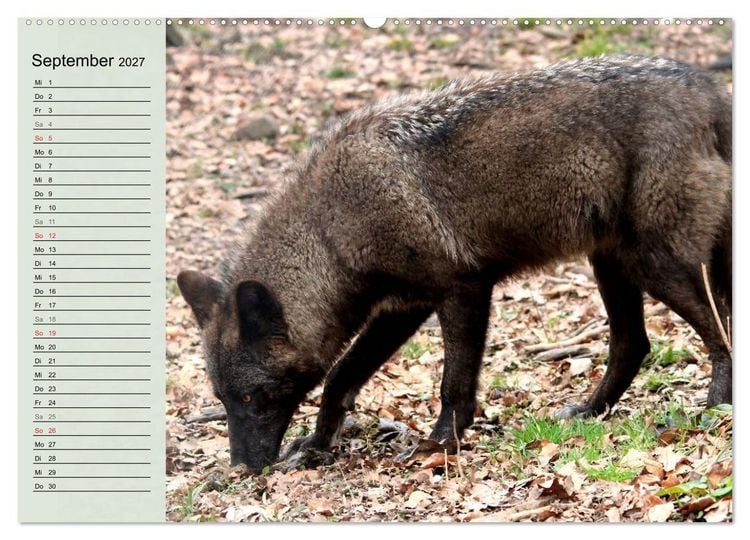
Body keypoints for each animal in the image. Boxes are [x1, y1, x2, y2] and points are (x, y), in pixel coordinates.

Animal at [178, 55, 732, 472]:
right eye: (224, 399)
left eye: (255, 397)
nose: (243, 468)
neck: (331, 229)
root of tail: (711, 89)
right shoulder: (401, 309)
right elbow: (339, 381)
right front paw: (317, 445)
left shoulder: (463, 289)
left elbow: (453, 382)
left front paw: (442, 443)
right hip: (612, 266)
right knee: (633, 345)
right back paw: (591, 411)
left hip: (656, 266)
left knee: (718, 329)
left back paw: (716, 407)